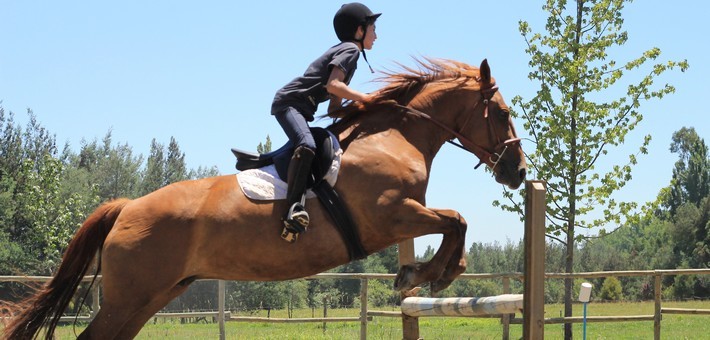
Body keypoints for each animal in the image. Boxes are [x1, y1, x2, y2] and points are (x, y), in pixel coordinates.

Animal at [1, 58, 528, 340]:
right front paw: (428, 275)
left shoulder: (403, 216)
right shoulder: (391, 215)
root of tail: (127, 207)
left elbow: (454, 221)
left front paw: (428, 273)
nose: (519, 172)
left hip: (153, 295)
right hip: (132, 296)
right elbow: (455, 218)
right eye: (503, 113)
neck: (394, 137)